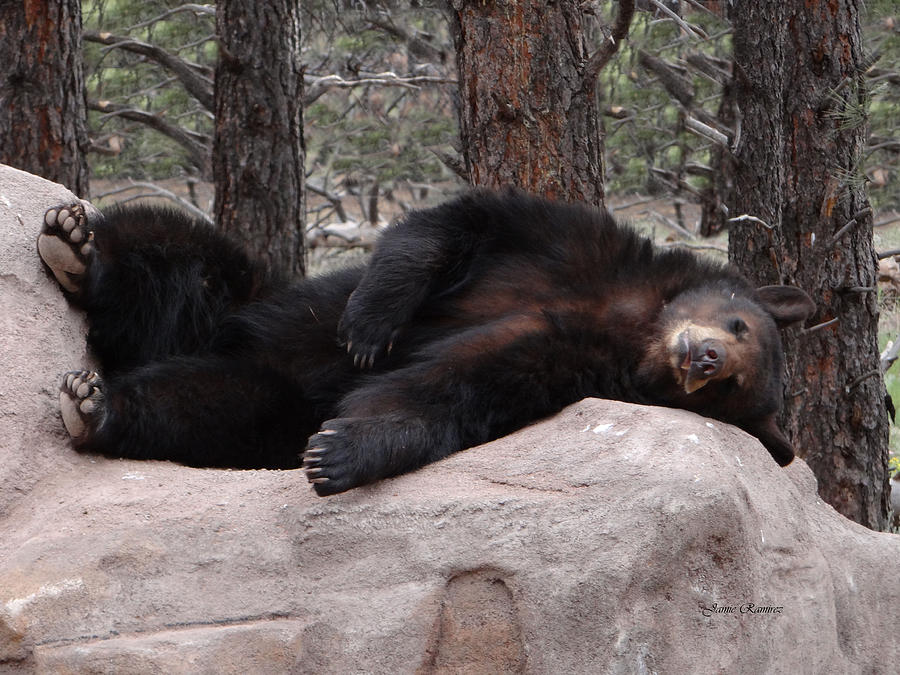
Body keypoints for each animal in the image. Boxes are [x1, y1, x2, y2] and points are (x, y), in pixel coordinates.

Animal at [38, 190, 816, 496]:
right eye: (742, 326)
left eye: (732, 385)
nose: (706, 358)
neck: (632, 322)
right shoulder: (573, 250)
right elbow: (456, 226)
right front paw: (369, 324)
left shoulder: (567, 357)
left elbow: (458, 385)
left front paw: (338, 450)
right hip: (242, 303)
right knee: (183, 254)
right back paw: (74, 246)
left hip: (259, 402)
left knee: (202, 406)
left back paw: (97, 406)